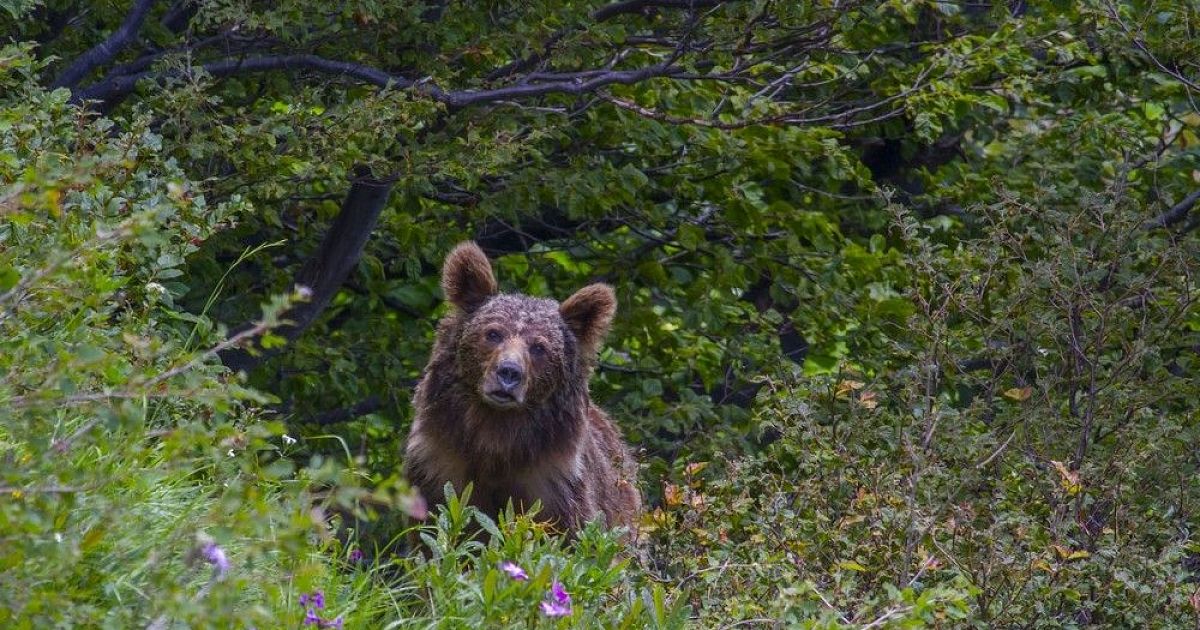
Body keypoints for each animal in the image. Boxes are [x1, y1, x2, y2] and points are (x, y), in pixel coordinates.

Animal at [403, 243, 643, 532]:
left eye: (539, 347)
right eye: (493, 333)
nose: (509, 372)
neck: (495, 438)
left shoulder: (552, 484)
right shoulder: (439, 467)